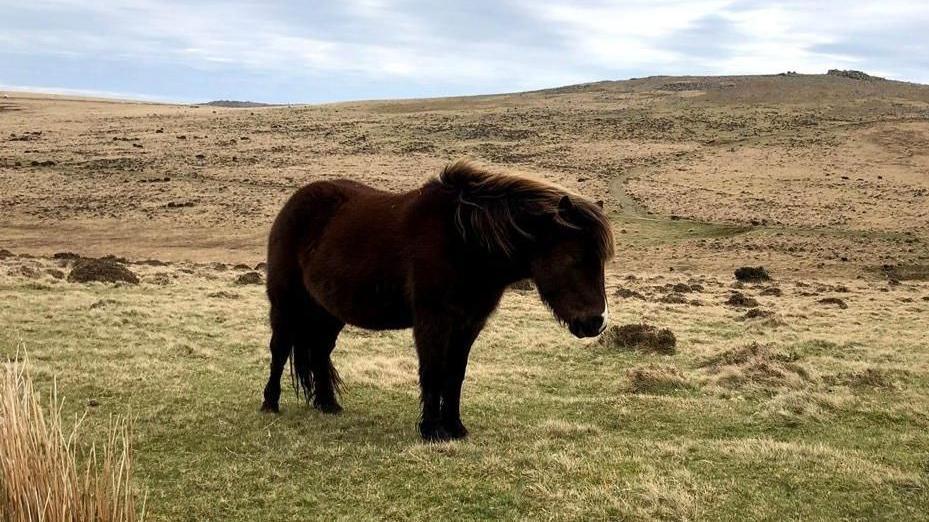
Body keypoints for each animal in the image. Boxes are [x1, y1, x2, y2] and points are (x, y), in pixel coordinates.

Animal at [261, 160, 614, 441]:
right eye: (573, 259)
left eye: (601, 262)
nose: (596, 322)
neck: (463, 241)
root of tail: (293, 204)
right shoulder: (433, 321)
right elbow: (432, 371)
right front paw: (431, 429)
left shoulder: (468, 324)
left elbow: (454, 375)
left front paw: (455, 427)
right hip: (286, 303)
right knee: (279, 349)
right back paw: (270, 404)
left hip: (328, 312)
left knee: (320, 352)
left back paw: (328, 404)